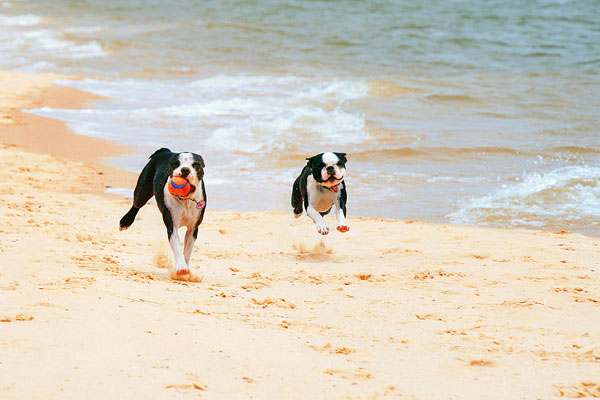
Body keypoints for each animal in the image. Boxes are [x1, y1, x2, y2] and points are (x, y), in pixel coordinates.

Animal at [118, 148, 207, 282]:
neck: (185, 200)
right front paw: (181, 268)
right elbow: (177, 246)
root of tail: (166, 150)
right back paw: (125, 221)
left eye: (196, 165)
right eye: (176, 164)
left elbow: (187, 250)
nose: (185, 169)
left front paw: (185, 269)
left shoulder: (193, 228)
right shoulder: (171, 225)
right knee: (137, 204)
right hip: (143, 189)